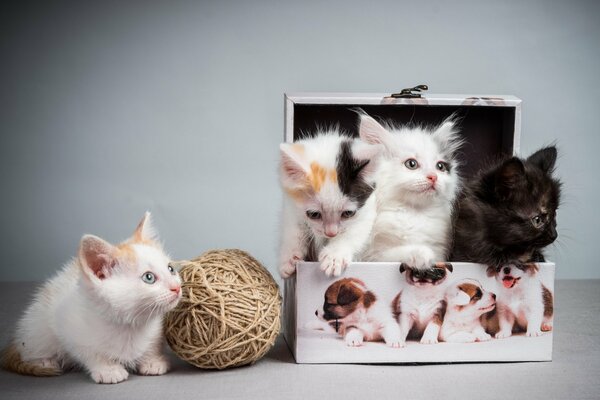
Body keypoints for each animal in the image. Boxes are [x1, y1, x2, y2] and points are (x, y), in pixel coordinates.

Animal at [2, 212, 182, 384]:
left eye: (171, 269)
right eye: (149, 278)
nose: (177, 287)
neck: (129, 326)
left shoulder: (156, 329)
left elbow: (153, 344)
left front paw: (152, 361)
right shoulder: (67, 323)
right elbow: (89, 351)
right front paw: (108, 370)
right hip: (36, 325)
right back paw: (43, 361)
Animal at [280, 131, 382, 278]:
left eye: (348, 213)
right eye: (314, 214)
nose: (331, 233)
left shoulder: (367, 210)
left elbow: (355, 231)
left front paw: (334, 256)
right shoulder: (291, 206)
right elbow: (293, 229)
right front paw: (288, 258)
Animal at [358, 112, 462, 268]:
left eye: (440, 166)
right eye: (411, 164)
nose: (433, 176)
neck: (414, 213)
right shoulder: (370, 256)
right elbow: (391, 254)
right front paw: (422, 254)